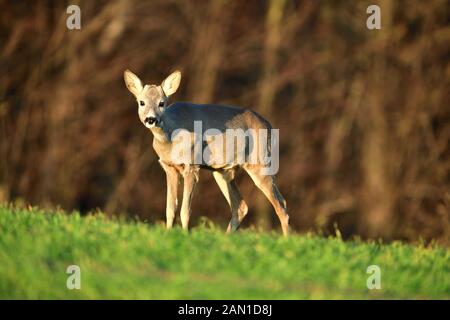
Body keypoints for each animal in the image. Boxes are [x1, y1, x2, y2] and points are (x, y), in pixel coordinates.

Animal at [124, 69, 292, 235]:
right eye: (141, 102)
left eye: (161, 103)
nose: (151, 119)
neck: (171, 137)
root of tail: (269, 125)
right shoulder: (169, 167)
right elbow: (170, 209)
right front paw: (168, 234)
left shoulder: (191, 165)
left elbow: (185, 210)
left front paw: (185, 235)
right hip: (222, 171)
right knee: (240, 206)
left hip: (260, 162)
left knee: (281, 205)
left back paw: (286, 239)